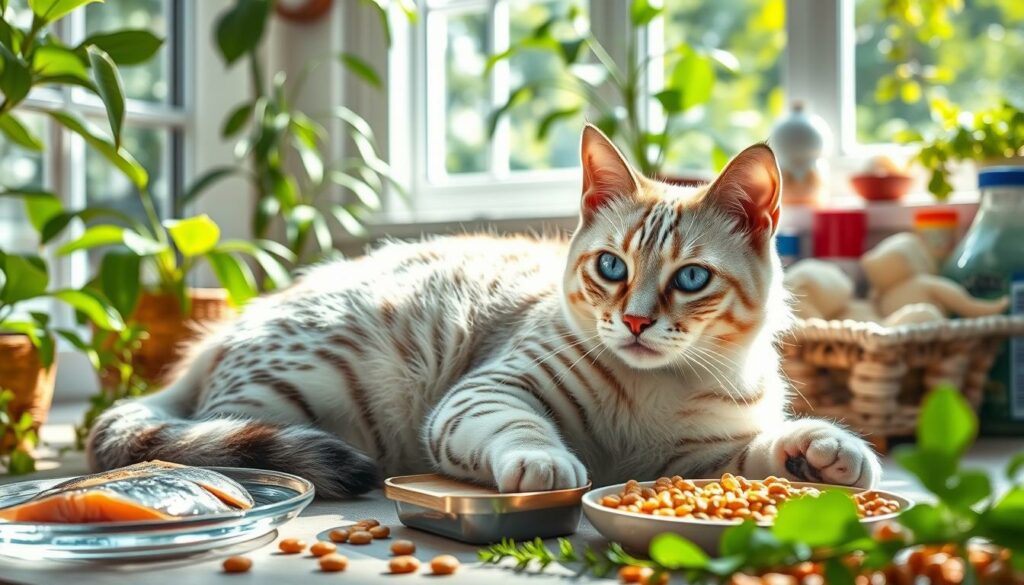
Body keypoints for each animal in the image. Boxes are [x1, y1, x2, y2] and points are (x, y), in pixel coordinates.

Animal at [88, 126, 884, 495]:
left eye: (690, 278)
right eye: (612, 267)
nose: (633, 322)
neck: (654, 395)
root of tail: (217, 335)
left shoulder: (695, 459)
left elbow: (757, 454)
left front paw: (822, 451)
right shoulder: (489, 391)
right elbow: (519, 429)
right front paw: (546, 462)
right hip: (300, 392)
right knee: (199, 436)